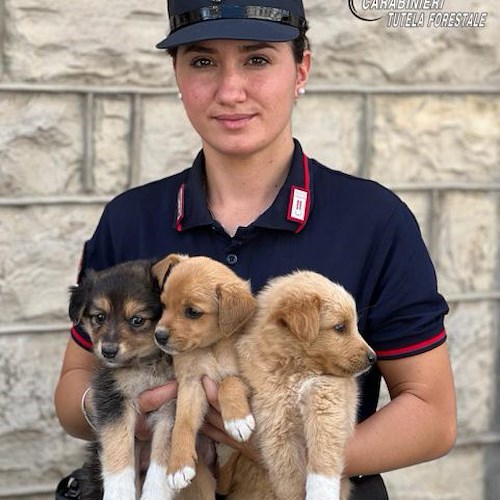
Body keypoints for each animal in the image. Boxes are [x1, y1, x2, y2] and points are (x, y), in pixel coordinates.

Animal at [68, 260, 213, 500]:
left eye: (137, 320)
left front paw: (155, 493)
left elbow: (164, 455)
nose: (108, 351)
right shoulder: (113, 397)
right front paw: (118, 493)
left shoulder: (172, 406)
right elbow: (118, 445)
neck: (147, 362)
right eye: (99, 317)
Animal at [152, 254, 258, 492]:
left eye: (193, 312)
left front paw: (237, 420)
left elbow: (228, 383)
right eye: (164, 305)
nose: (159, 336)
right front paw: (179, 465)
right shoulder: (191, 384)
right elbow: (182, 423)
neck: (211, 347)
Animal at [229, 270, 376, 500]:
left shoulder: (330, 397)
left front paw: (322, 492)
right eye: (340, 327)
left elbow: (323, 448)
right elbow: (289, 475)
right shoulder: (275, 424)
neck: (295, 371)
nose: (373, 357)